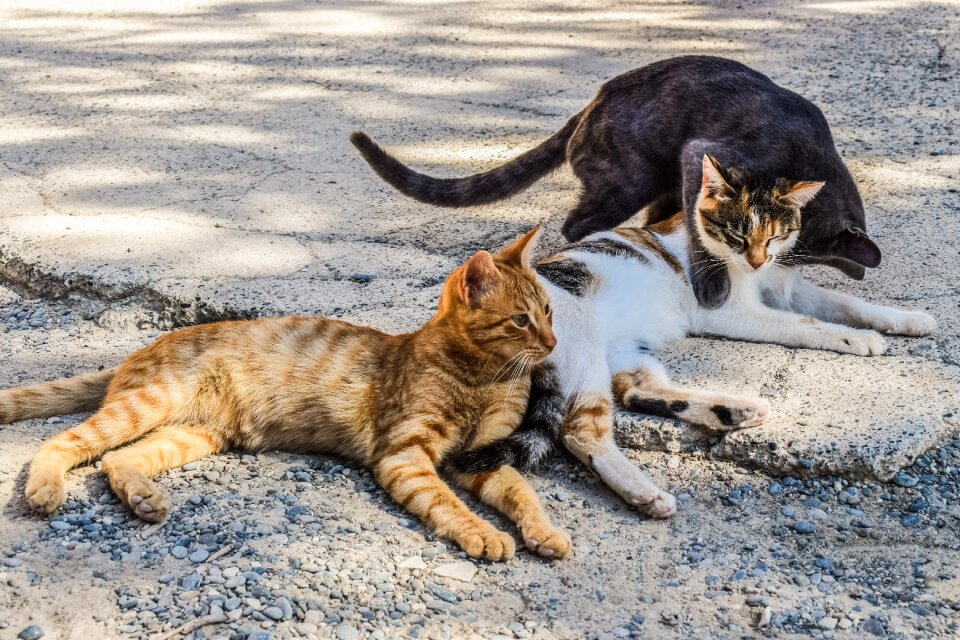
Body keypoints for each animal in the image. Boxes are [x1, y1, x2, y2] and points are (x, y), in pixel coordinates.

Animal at [0, 230, 568, 560]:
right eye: (522, 320)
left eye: (550, 311)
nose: (553, 343)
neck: (485, 377)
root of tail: (141, 348)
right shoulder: (406, 454)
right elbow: (449, 504)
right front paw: (483, 533)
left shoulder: (482, 455)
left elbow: (523, 493)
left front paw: (544, 532)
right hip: (148, 405)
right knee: (62, 443)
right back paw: (45, 488)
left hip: (194, 435)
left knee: (116, 460)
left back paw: (144, 497)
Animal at [450, 156, 936, 520]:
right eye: (737, 233)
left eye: (776, 235)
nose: (757, 260)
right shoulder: (732, 310)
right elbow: (806, 324)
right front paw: (858, 339)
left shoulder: (786, 285)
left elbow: (844, 301)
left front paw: (906, 319)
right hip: (579, 348)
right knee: (581, 431)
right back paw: (646, 494)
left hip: (626, 351)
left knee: (636, 394)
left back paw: (735, 410)